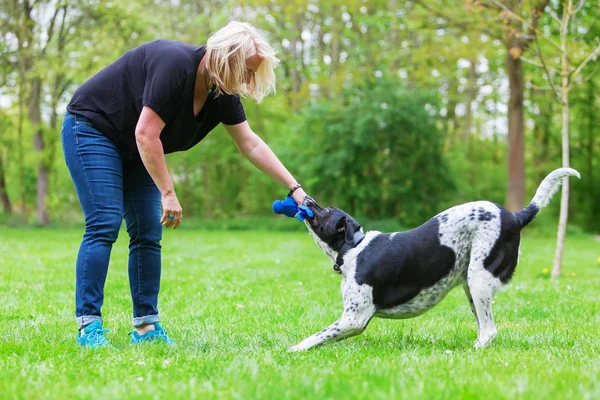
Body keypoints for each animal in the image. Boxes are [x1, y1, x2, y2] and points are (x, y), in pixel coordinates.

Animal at [288, 167, 580, 352]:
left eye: (326, 211)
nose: (306, 198)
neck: (354, 248)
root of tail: (516, 217)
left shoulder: (354, 318)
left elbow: (314, 337)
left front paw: (291, 350)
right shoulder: (351, 321)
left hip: (479, 279)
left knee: (489, 331)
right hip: (471, 287)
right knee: (485, 328)